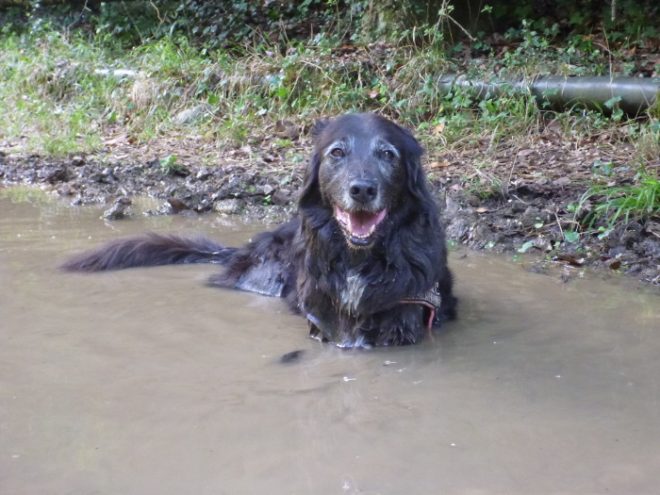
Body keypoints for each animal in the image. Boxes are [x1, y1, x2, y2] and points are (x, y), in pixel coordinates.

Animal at [64, 115, 456, 348]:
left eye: (388, 155)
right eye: (337, 153)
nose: (361, 189)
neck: (360, 259)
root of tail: (245, 249)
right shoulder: (322, 322)